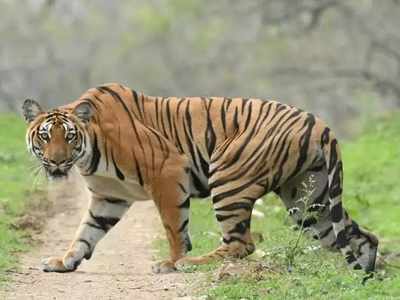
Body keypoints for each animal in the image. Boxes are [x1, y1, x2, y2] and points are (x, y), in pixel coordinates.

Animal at [21, 82, 378, 274]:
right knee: (362, 237)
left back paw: (192, 263)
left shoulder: (168, 171)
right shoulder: (110, 196)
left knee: (241, 244)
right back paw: (360, 279)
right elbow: (86, 232)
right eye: (45, 136)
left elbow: (174, 228)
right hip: (308, 200)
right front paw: (64, 261)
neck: (89, 151)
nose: (56, 161)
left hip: (230, 179)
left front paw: (172, 262)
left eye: (69, 137)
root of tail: (319, 123)